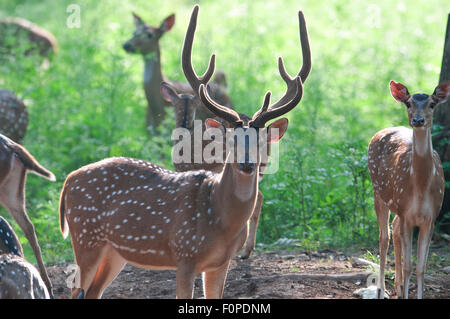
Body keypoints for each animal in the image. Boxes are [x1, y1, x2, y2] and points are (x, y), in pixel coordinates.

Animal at [368, 80, 448, 300]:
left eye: (432, 104)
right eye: (409, 103)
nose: (418, 120)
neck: (420, 188)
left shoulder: (430, 217)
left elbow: (421, 268)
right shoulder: (406, 213)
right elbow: (408, 266)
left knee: (393, 228)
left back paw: (398, 286)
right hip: (378, 192)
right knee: (384, 236)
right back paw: (381, 290)